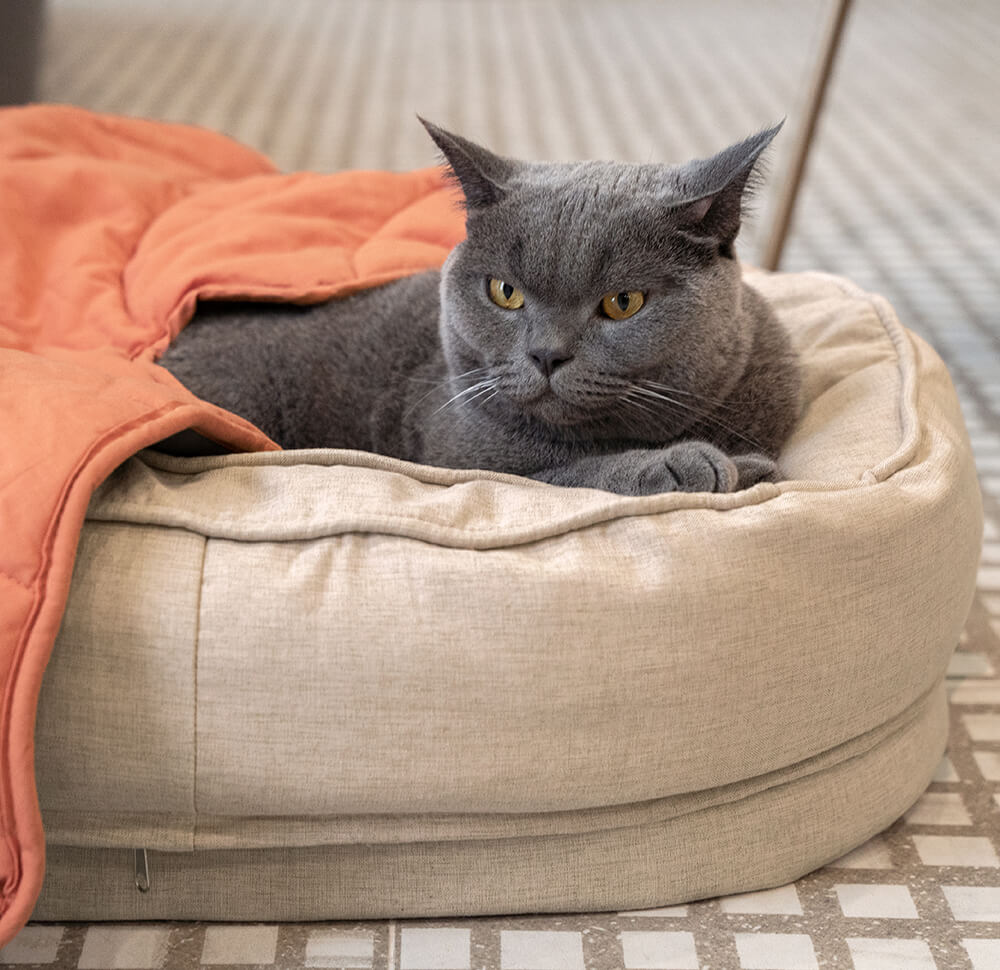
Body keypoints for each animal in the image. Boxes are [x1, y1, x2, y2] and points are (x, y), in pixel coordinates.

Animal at [164, 121, 804, 496]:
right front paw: (687, 466)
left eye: (624, 302)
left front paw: (741, 466)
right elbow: (556, 474)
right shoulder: (454, 450)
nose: (546, 354)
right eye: (505, 292)